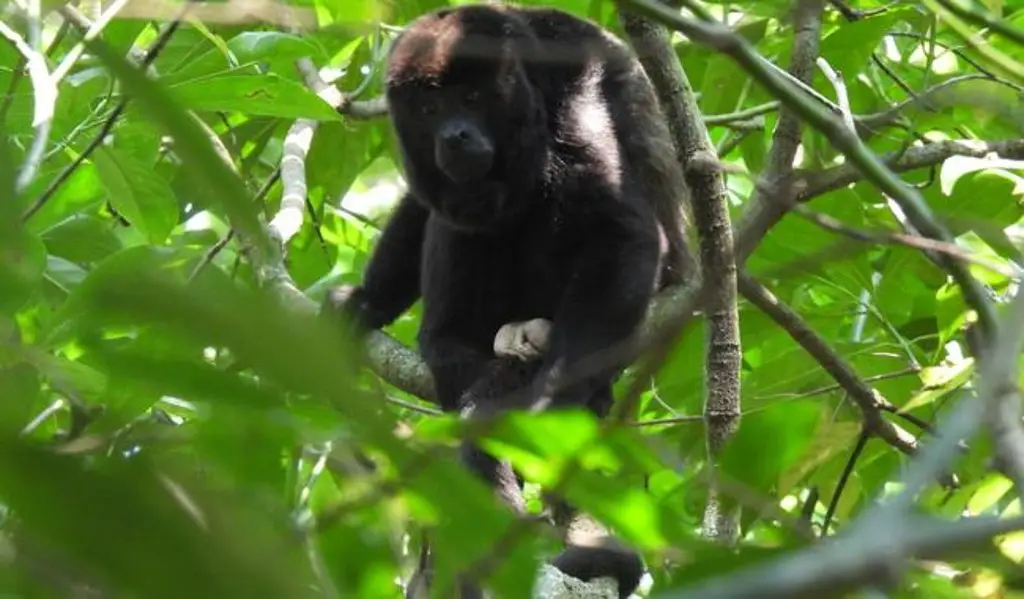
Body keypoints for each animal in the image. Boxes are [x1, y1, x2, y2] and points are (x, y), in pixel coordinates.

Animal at [323, 4, 691, 597]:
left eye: (473, 98)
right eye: (429, 109)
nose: (455, 135)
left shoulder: (570, 87)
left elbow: (621, 230)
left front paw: (548, 399)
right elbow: (421, 206)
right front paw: (367, 301)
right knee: (458, 218)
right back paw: (448, 349)